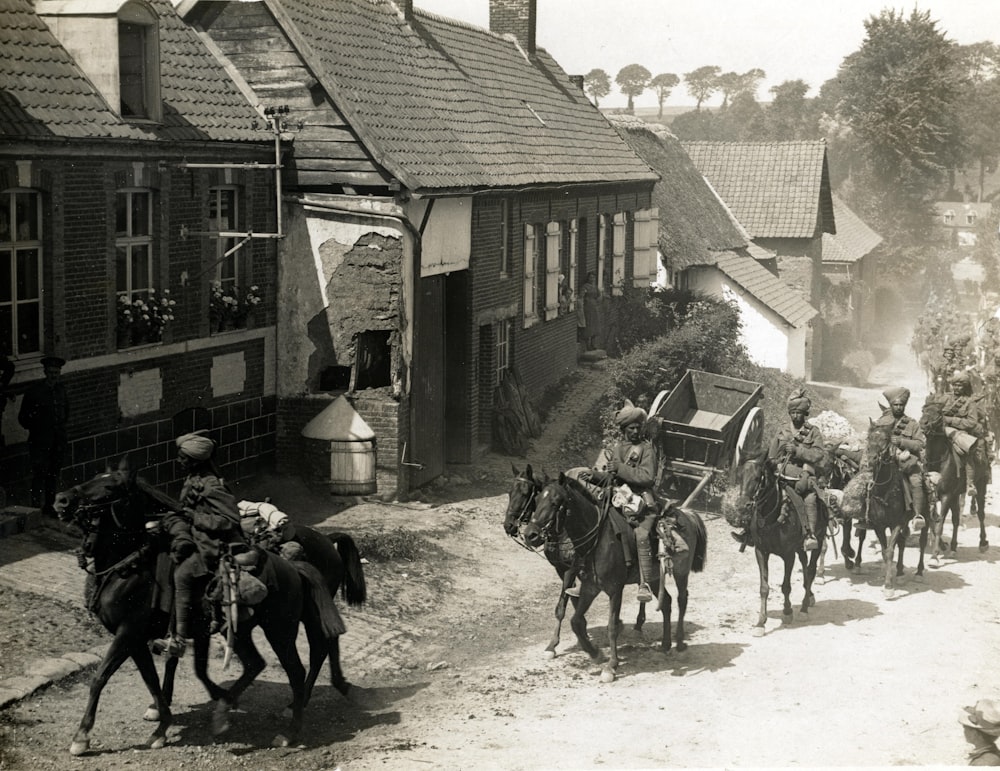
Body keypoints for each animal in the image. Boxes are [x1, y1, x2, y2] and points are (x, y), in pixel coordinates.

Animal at [54, 462, 346, 756]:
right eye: (93, 477)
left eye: (109, 487)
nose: (61, 500)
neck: (129, 568)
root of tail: (294, 567)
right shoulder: (138, 639)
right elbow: (153, 679)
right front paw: (161, 725)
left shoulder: (128, 633)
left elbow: (100, 677)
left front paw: (81, 736)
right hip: (241, 631)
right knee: (257, 663)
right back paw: (227, 708)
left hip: (281, 630)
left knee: (300, 668)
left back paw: (289, 729)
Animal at [520, 476, 708, 680]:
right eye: (536, 500)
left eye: (555, 503)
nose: (530, 535)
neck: (598, 540)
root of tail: (688, 515)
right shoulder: (590, 586)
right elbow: (575, 621)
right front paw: (595, 654)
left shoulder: (615, 589)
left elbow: (611, 627)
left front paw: (611, 666)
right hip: (655, 578)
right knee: (666, 602)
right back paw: (665, 645)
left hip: (681, 572)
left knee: (682, 599)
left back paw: (679, 644)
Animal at [736, 456, 828, 636]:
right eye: (740, 476)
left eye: (757, 478)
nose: (743, 505)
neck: (772, 516)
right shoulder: (761, 552)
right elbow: (764, 588)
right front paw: (760, 623)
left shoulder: (788, 555)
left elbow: (786, 586)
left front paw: (787, 612)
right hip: (800, 548)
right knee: (805, 567)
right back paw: (809, 596)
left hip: (818, 541)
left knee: (811, 570)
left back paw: (804, 608)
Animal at [860, 420, 928, 596]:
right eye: (869, 438)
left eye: (885, 439)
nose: (871, 459)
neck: (885, 490)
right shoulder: (879, 525)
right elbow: (885, 551)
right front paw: (889, 578)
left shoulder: (896, 523)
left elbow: (890, 550)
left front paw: (889, 587)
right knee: (902, 543)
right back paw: (900, 573)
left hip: (925, 518)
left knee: (922, 542)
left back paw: (919, 573)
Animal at [920, 396, 992, 556]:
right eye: (923, 410)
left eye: (938, 412)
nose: (923, 423)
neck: (937, 460)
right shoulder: (932, 494)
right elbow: (934, 521)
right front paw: (941, 546)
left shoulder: (946, 495)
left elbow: (940, 522)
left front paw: (935, 553)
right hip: (955, 494)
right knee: (955, 519)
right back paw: (953, 546)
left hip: (980, 485)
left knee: (981, 514)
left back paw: (983, 542)